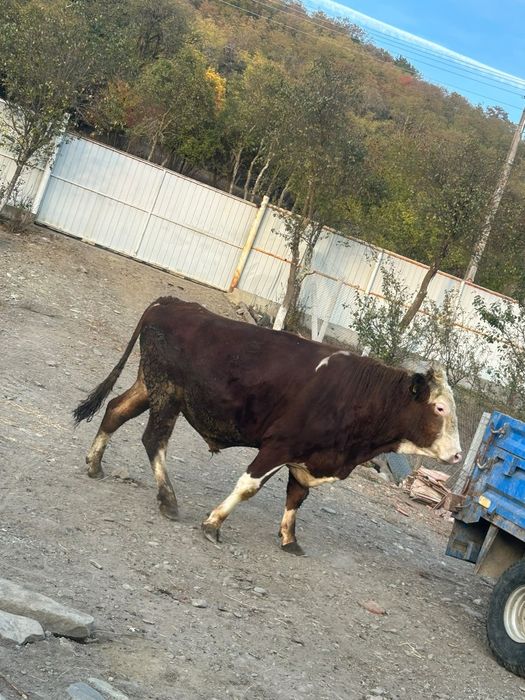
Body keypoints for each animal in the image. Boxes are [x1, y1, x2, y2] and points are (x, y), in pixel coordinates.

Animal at [73, 296, 462, 555]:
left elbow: (297, 496)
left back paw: (94, 464)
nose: (458, 455)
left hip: (149, 386)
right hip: (167, 396)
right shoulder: (279, 445)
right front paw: (213, 523)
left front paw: (289, 538)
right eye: (440, 407)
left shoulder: (307, 456)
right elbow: (249, 486)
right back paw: (168, 499)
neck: (357, 394)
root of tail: (170, 303)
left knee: (115, 411)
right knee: (153, 440)